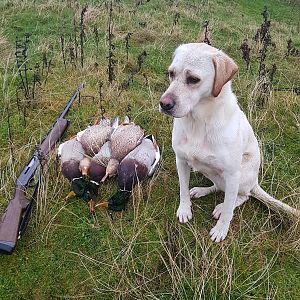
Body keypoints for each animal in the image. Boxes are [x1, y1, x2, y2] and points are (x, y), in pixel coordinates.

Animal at [159, 42, 298, 244]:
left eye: (193, 79)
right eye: (171, 73)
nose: (164, 104)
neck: (198, 121)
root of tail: (255, 182)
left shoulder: (232, 174)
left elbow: (228, 211)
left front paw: (221, 230)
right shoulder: (181, 161)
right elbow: (183, 189)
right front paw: (185, 209)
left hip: (240, 176)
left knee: (242, 197)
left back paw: (222, 207)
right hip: (212, 172)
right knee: (218, 187)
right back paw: (201, 191)